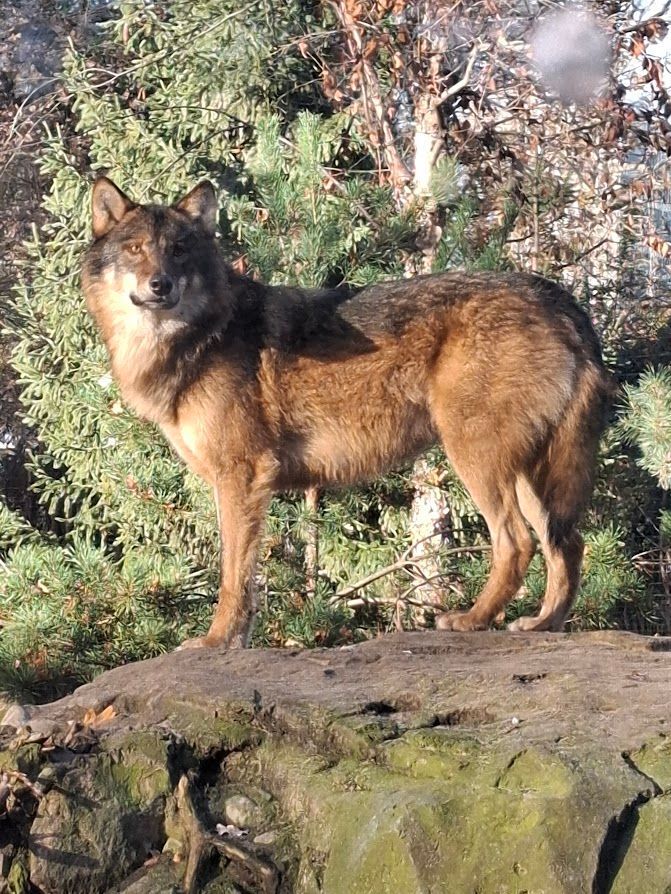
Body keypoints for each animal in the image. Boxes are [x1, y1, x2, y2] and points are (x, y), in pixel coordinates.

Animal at [81, 177, 612, 652]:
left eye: (179, 250)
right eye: (135, 249)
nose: (160, 284)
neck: (201, 337)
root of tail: (561, 301)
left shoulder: (242, 475)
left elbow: (233, 575)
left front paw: (215, 642)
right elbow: (248, 578)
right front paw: (237, 641)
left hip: (479, 460)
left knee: (517, 543)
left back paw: (471, 620)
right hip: (529, 475)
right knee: (569, 544)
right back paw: (543, 625)